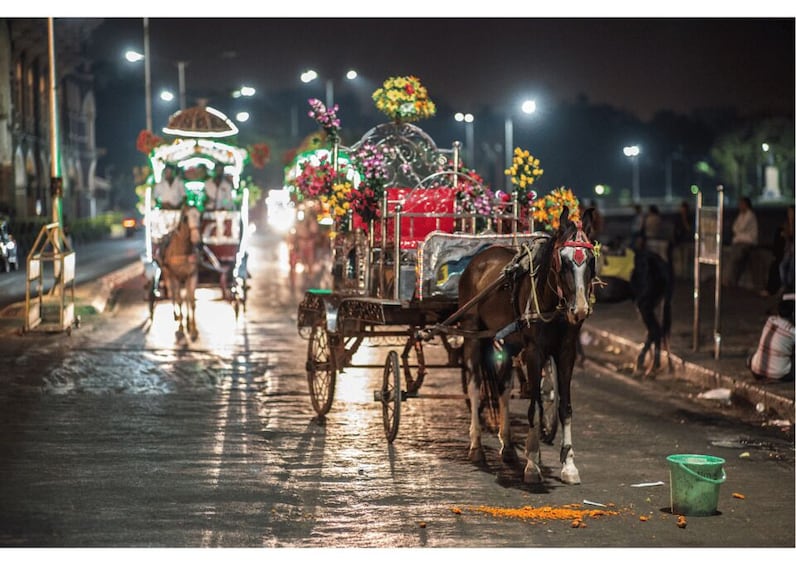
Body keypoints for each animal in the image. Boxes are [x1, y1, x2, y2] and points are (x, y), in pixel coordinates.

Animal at [159, 205, 202, 342]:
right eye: (185, 218)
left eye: (200, 216)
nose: (198, 243)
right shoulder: (175, 277)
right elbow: (179, 301)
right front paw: (181, 329)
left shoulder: (192, 275)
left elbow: (191, 301)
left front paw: (193, 330)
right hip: (167, 275)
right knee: (173, 295)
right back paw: (176, 316)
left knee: (186, 297)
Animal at [458, 207, 592, 484]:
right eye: (563, 261)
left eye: (591, 260)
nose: (580, 309)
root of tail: (480, 257)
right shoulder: (534, 352)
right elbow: (534, 406)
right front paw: (532, 463)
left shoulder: (567, 352)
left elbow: (564, 407)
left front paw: (569, 465)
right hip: (472, 334)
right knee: (475, 387)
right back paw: (476, 446)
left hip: (508, 342)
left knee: (503, 388)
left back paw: (508, 447)